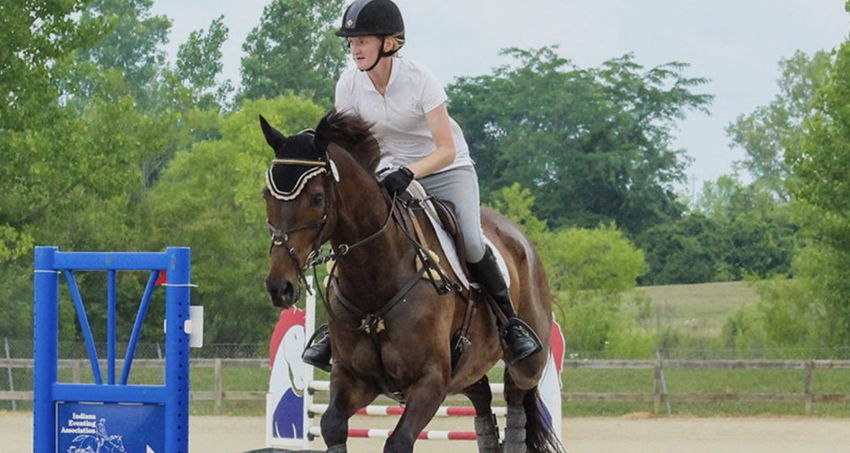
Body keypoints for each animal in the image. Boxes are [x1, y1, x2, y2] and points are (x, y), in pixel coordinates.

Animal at [260, 110, 564, 453]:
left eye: (316, 198)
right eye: (266, 195)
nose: (280, 287)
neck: (374, 279)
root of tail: (522, 239)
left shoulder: (429, 380)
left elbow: (398, 441)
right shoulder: (354, 378)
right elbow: (332, 424)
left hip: (527, 363)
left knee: (515, 397)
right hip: (469, 368)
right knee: (482, 397)